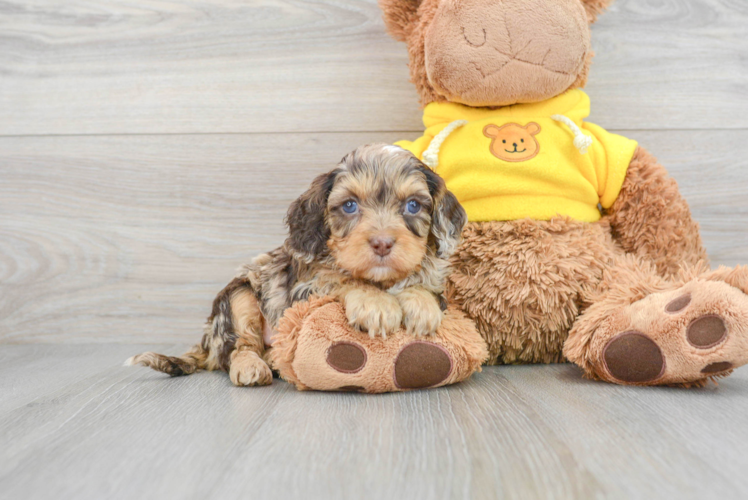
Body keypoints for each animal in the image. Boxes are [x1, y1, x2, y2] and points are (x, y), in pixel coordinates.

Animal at [129, 145, 468, 386]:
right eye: (349, 205)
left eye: (413, 205)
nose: (382, 243)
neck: (381, 280)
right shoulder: (305, 288)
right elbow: (341, 278)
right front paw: (376, 303)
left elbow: (424, 286)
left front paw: (421, 305)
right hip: (237, 298)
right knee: (238, 347)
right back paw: (252, 367)